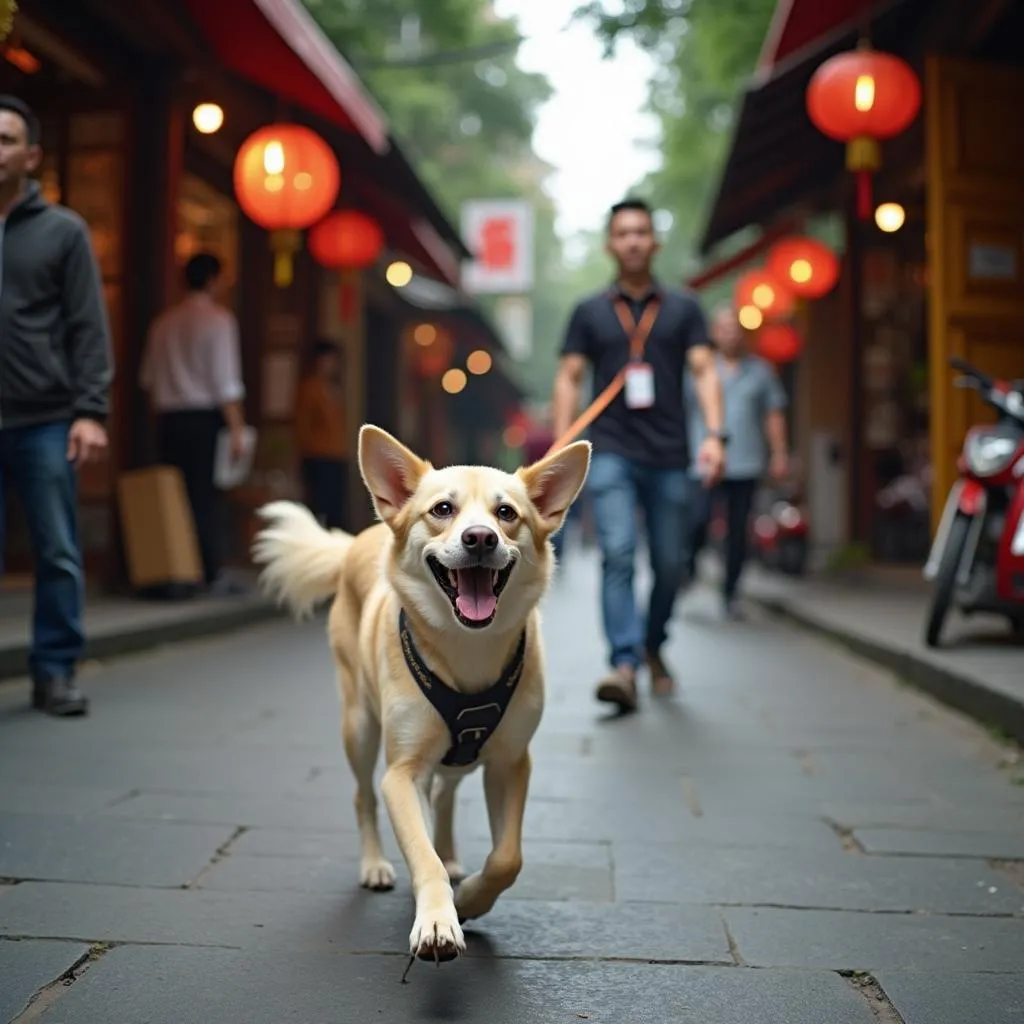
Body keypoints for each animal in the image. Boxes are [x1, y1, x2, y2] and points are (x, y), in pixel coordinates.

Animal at [249, 428, 593, 962]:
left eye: (506, 513)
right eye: (443, 509)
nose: (480, 538)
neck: (467, 647)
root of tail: (358, 538)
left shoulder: (511, 763)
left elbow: (507, 858)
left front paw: (468, 898)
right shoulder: (402, 773)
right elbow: (419, 851)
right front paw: (437, 920)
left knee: (445, 797)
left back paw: (452, 860)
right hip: (359, 727)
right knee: (363, 797)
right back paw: (375, 866)